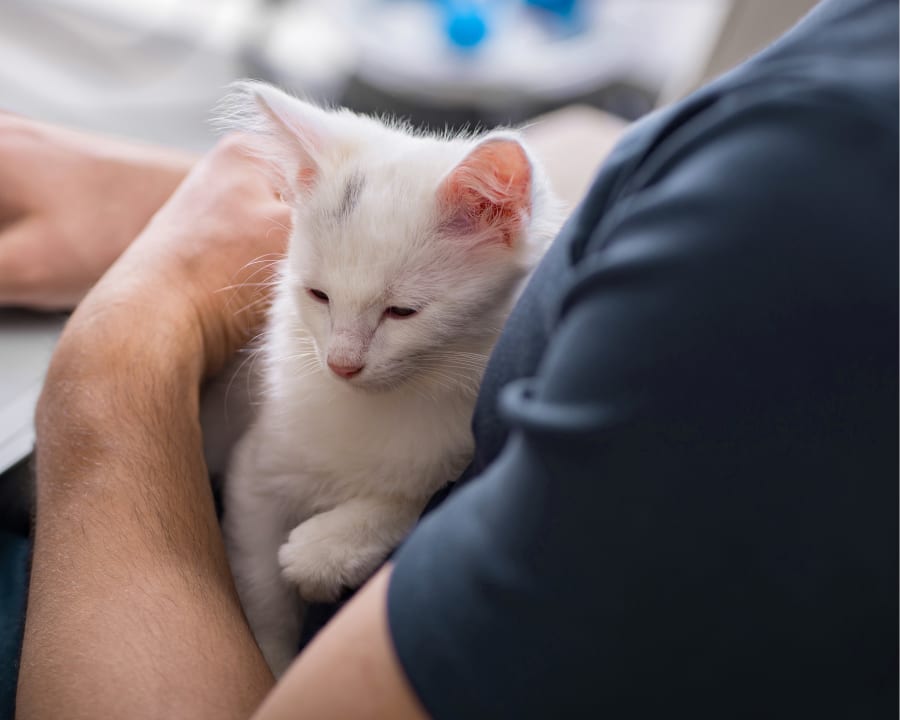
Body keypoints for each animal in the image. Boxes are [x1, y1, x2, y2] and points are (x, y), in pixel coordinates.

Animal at [215, 83, 564, 676]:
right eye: (319, 295)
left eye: (402, 312)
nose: (342, 363)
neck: (398, 397)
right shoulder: (255, 471)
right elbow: (261, 588)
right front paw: (274, 663)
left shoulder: (457, 444)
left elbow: (419, 496)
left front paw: (326, 551)